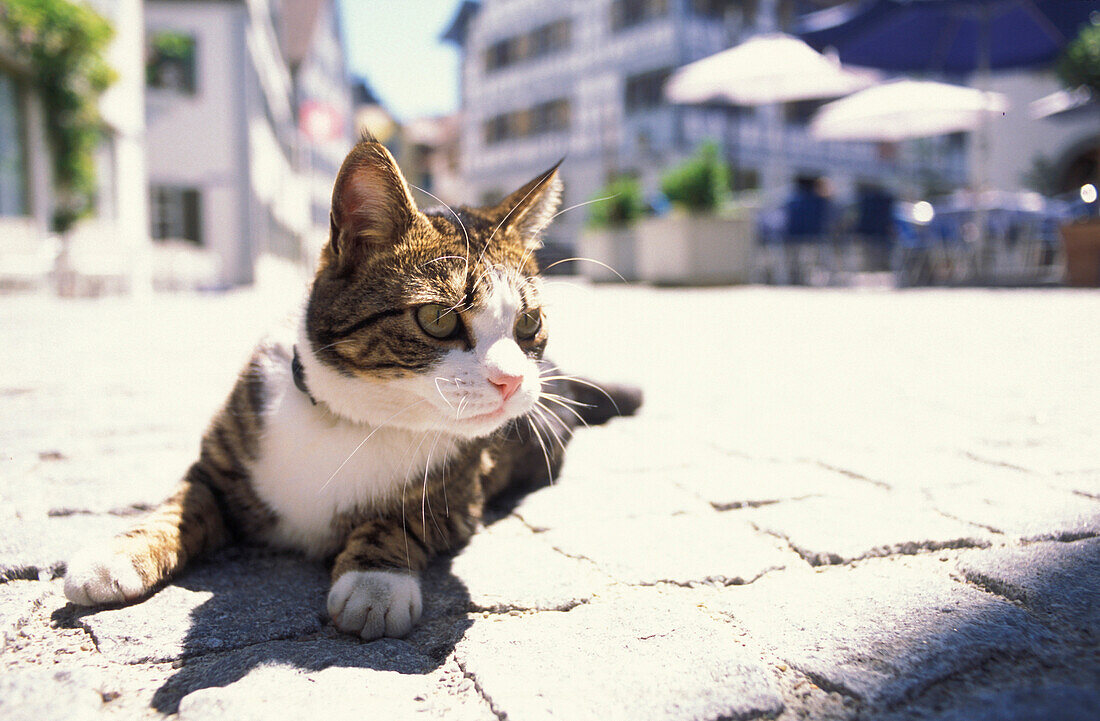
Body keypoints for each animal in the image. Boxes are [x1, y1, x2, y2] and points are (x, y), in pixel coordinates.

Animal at [64, 133, 642, 638]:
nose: (513, 378)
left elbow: (401, 520)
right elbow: (182, 506)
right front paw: (118, 553)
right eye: (437, 318)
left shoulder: (460, 492)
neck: (349, 418)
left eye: (527, 323)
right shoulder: (222, 458)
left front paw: (374, 584)